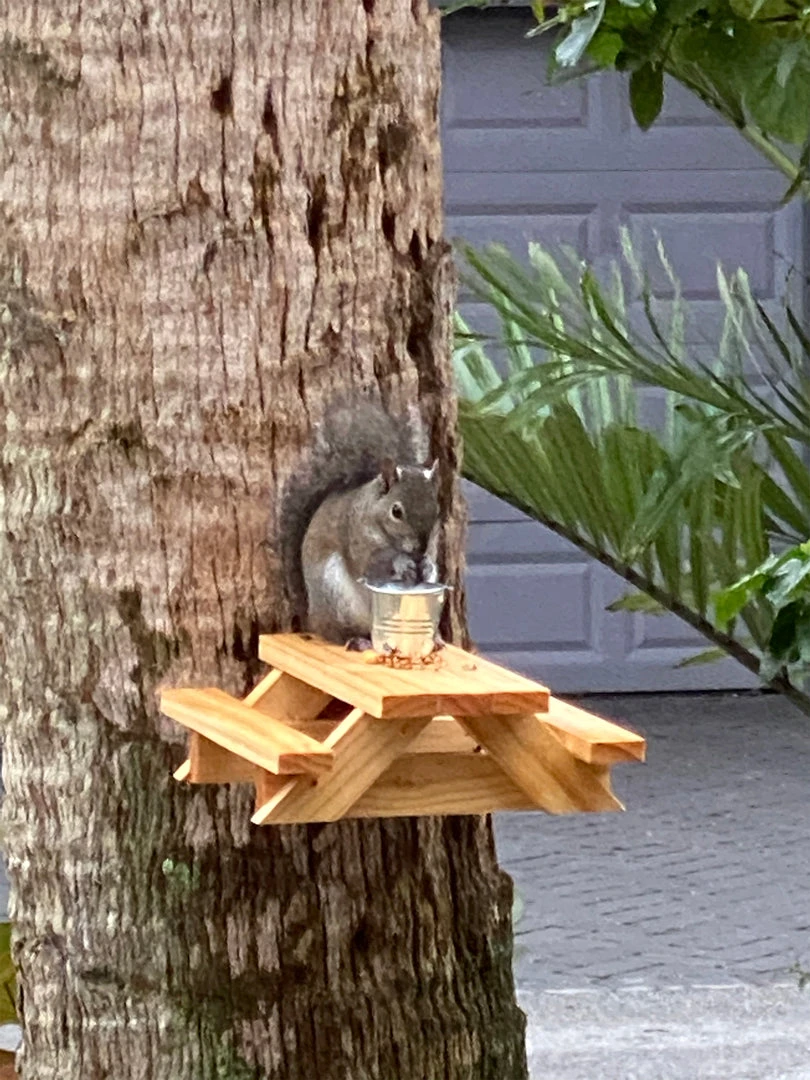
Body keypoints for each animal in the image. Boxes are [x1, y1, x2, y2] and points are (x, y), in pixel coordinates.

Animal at [280, 398, 441, 646]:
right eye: (396, 511)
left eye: (437, 509)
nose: (420, 548)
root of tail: (312, 616)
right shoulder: (355, 537)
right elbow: (371, 564)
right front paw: (401, 562)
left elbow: (430, 560)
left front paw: (426, 564)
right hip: (334, 594)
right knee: (336, 632)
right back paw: (356, 641)